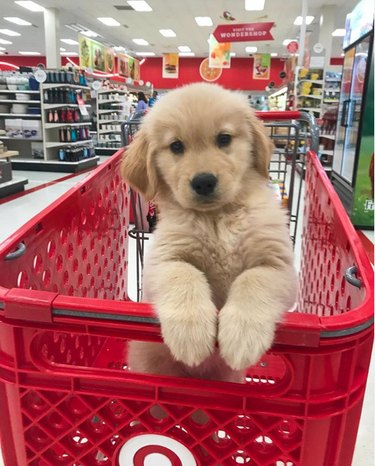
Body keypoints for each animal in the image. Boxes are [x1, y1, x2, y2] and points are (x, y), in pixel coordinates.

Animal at [122, 83, 298, 382]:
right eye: (176, 146)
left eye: (224, 139)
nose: (203, 181)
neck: (217, 218)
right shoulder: (163, 261)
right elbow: (184, 274)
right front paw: (190, 334)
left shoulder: (278, 265)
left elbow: (254, 279)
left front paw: (242, 335)